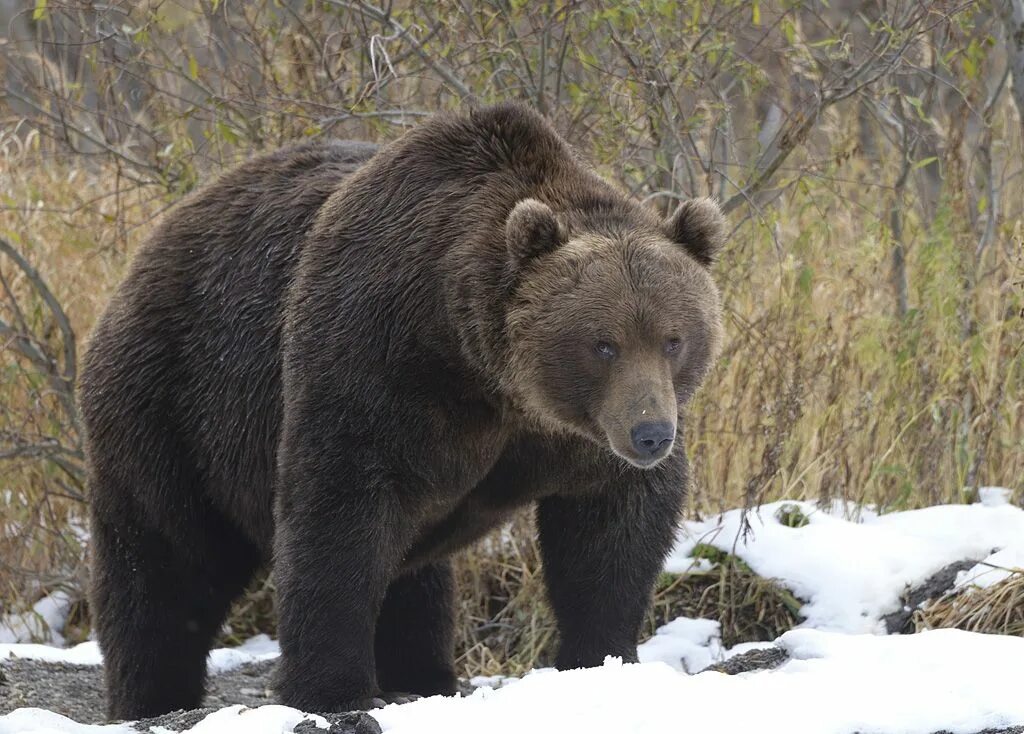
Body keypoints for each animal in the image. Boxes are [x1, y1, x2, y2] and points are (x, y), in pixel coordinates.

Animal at [79, 102, 724, 716]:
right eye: (603, 343)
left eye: (673, 338)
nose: (651, 434)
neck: (484, 372)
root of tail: (147, 252)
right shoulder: (376, 361)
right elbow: (336, 509)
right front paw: (331, 690)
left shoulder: (571, 436)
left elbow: (611, 530)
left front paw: (604, 660)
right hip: (173, 402)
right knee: (166, 560)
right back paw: (153, 694)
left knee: (414, 575)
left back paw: (423, 675)